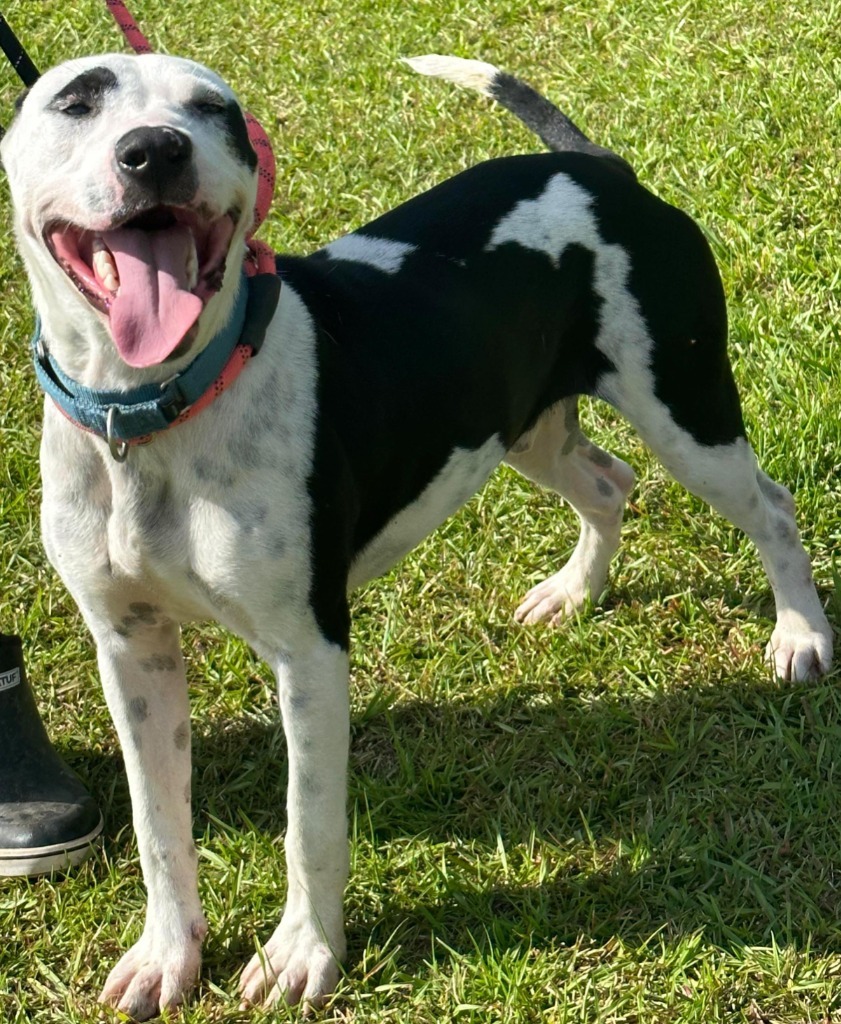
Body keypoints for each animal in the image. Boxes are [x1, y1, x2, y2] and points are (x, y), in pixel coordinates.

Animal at [0, 49, 827, 1015]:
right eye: (77, 101)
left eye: (212, 110)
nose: (154, 151)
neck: (152, 413)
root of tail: (598, 170)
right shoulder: (132, 651)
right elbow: (157, 824)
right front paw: (169, 955)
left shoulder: (309, 653)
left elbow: (308, 824)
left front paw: (303, 954)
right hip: (520, 423)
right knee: (608, 482)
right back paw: (573, 592)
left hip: (683, 410)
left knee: (768, 505)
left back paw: (800, 635)